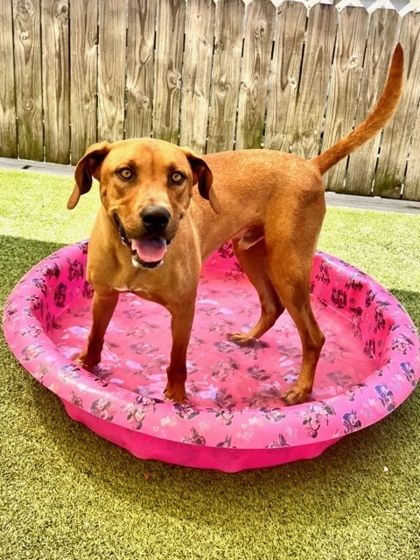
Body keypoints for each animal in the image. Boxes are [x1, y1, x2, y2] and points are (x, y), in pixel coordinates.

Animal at [68, 43, 404, 402]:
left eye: (177, 177)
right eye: (126, 173)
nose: (157, 218)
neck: (132, 261)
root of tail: (309, 165)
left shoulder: (184, 309)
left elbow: (177, 362)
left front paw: (176, 399)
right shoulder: (104, 296)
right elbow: (95, 336)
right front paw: (86, 366)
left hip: (288, 267)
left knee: (314, 336)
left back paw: (301, 390)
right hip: (249, 252)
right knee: (272, 306)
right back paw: (250, 338)